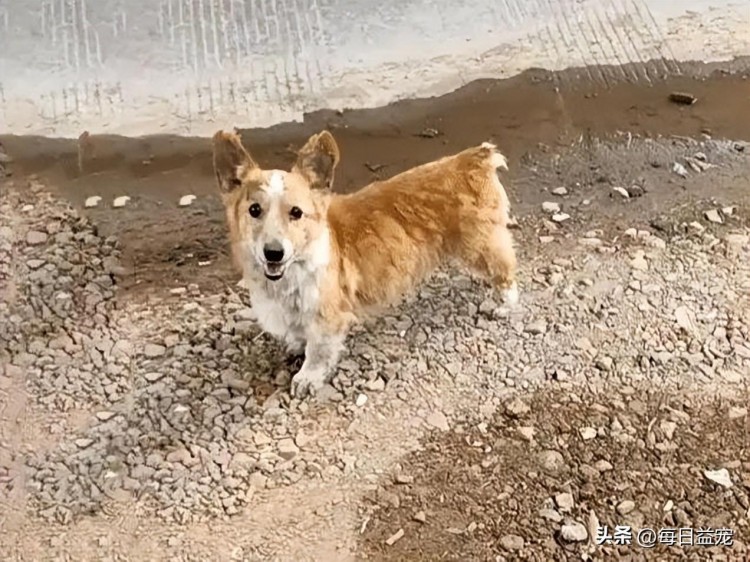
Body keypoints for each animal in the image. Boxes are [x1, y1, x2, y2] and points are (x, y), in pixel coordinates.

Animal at [212, 129, 516, 396]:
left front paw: (307, 378)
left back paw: (505, 307)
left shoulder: (327, 316)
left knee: (506, 272)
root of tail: (475, 158)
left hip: (479, 246)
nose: (273, 253)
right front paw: (296, 344)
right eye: (254, 210)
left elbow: (318, 351)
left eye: (296, 212)